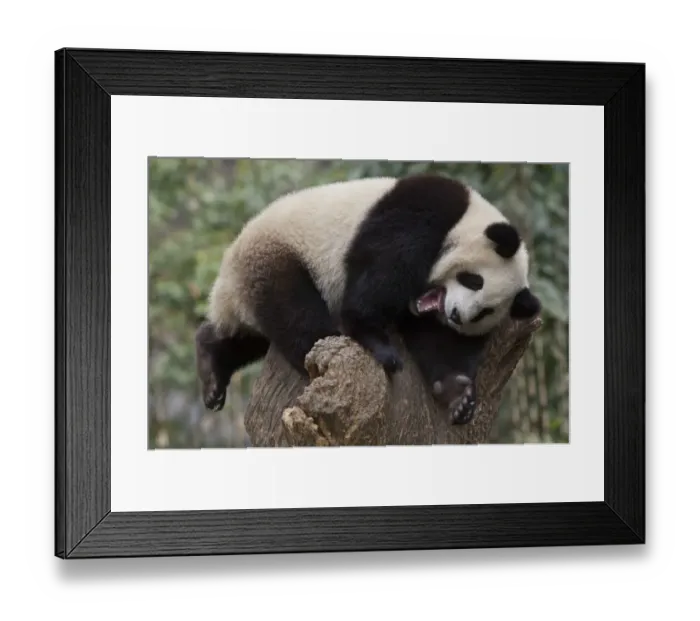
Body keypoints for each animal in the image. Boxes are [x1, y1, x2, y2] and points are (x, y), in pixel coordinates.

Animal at [194, 173, 541, 426]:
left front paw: (459, 397)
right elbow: (380, 273)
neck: (468, 220)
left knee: (250, 336)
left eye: (485, 312)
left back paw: (212, 367)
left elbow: (441, 340)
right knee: (292, 311)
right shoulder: (422, 215)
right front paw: (380, 347)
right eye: (474, 280)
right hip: (273, 256)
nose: (455, 314)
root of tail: (226, 282)